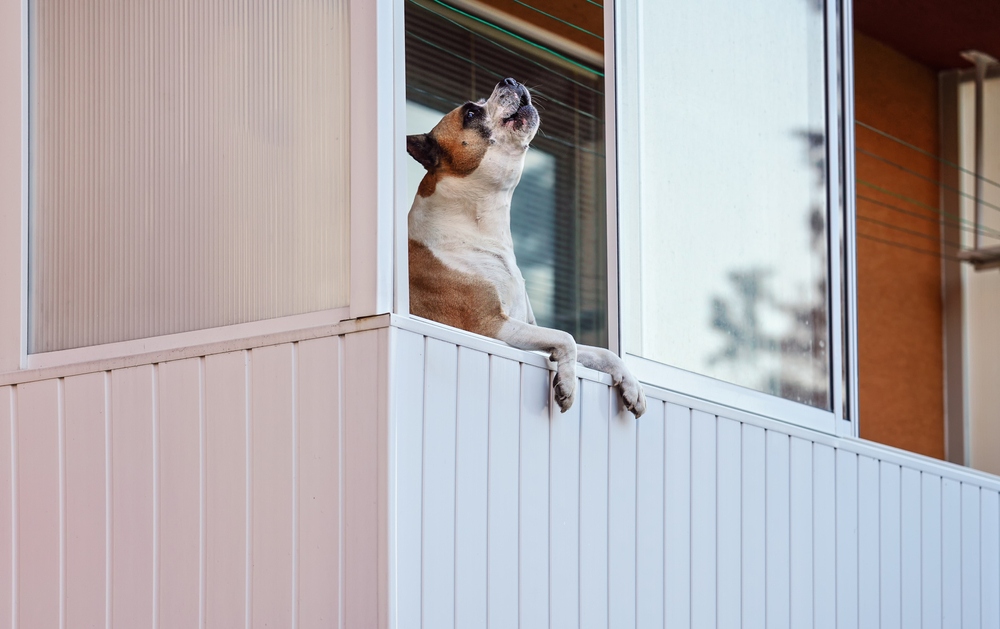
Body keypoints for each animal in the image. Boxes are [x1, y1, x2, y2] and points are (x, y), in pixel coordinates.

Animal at [406, 76, 648, 418]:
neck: (480, 224)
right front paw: (567, 384)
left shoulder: (524, 326)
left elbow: (602, 352)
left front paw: (632, 385)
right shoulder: (491, 327)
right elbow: (567, 338)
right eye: (470, 113)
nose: (509, 79)